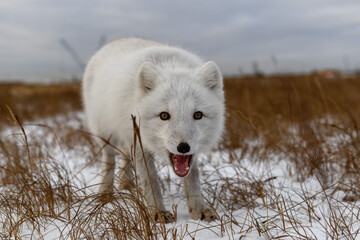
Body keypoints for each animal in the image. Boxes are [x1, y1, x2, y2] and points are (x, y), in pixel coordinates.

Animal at [83, 37, 226, 223]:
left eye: (198, 115)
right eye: (164, 115)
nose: (183, 147)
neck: (172, 66)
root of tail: (118, 40)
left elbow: (193, 179)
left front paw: (199, 210)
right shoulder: (140, 145)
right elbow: (150, 181)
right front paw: (157, 212)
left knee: (125, 155)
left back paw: (126, 183)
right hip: (105, 133)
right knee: (109, 161)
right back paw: (105, 192)